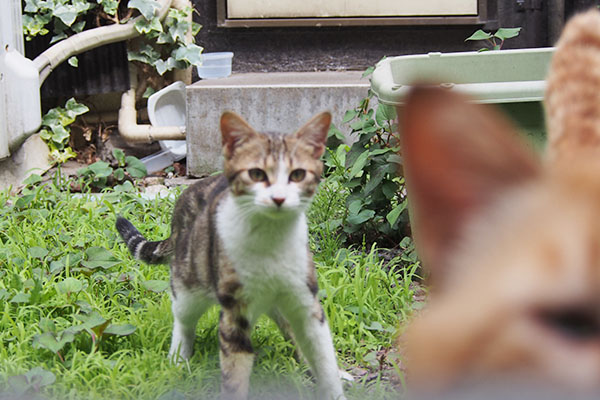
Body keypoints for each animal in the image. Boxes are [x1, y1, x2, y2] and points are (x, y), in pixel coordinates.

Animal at [115, 111, 344, 400]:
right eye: (256, 174)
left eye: (298, 174)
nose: (279, 198)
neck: (270, 240)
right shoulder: (234, 314)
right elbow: (234, 375)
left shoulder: (306, 302)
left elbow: (323, 356)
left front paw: (332, 381)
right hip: (189, 282)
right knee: (183, 318)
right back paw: (178, 358)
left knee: (290, 328)